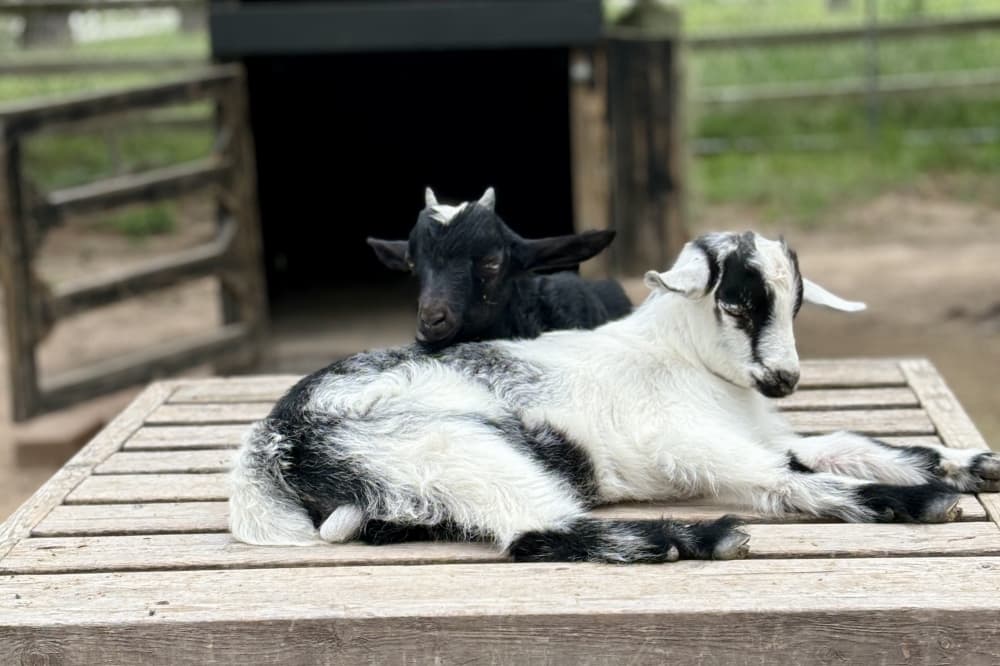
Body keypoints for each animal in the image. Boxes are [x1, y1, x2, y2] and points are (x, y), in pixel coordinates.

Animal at [230, 231, 1000, 563]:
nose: (784, 380)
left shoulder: (772, 432)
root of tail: (269, 446)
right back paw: (701, 538)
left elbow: (855, 445)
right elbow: (786, 480)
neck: (680, 359)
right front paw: (919, 498)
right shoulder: (690, 445)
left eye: (797, 302)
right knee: (534, 532)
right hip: (448, 448)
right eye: (737, 301)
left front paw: (973, 463)